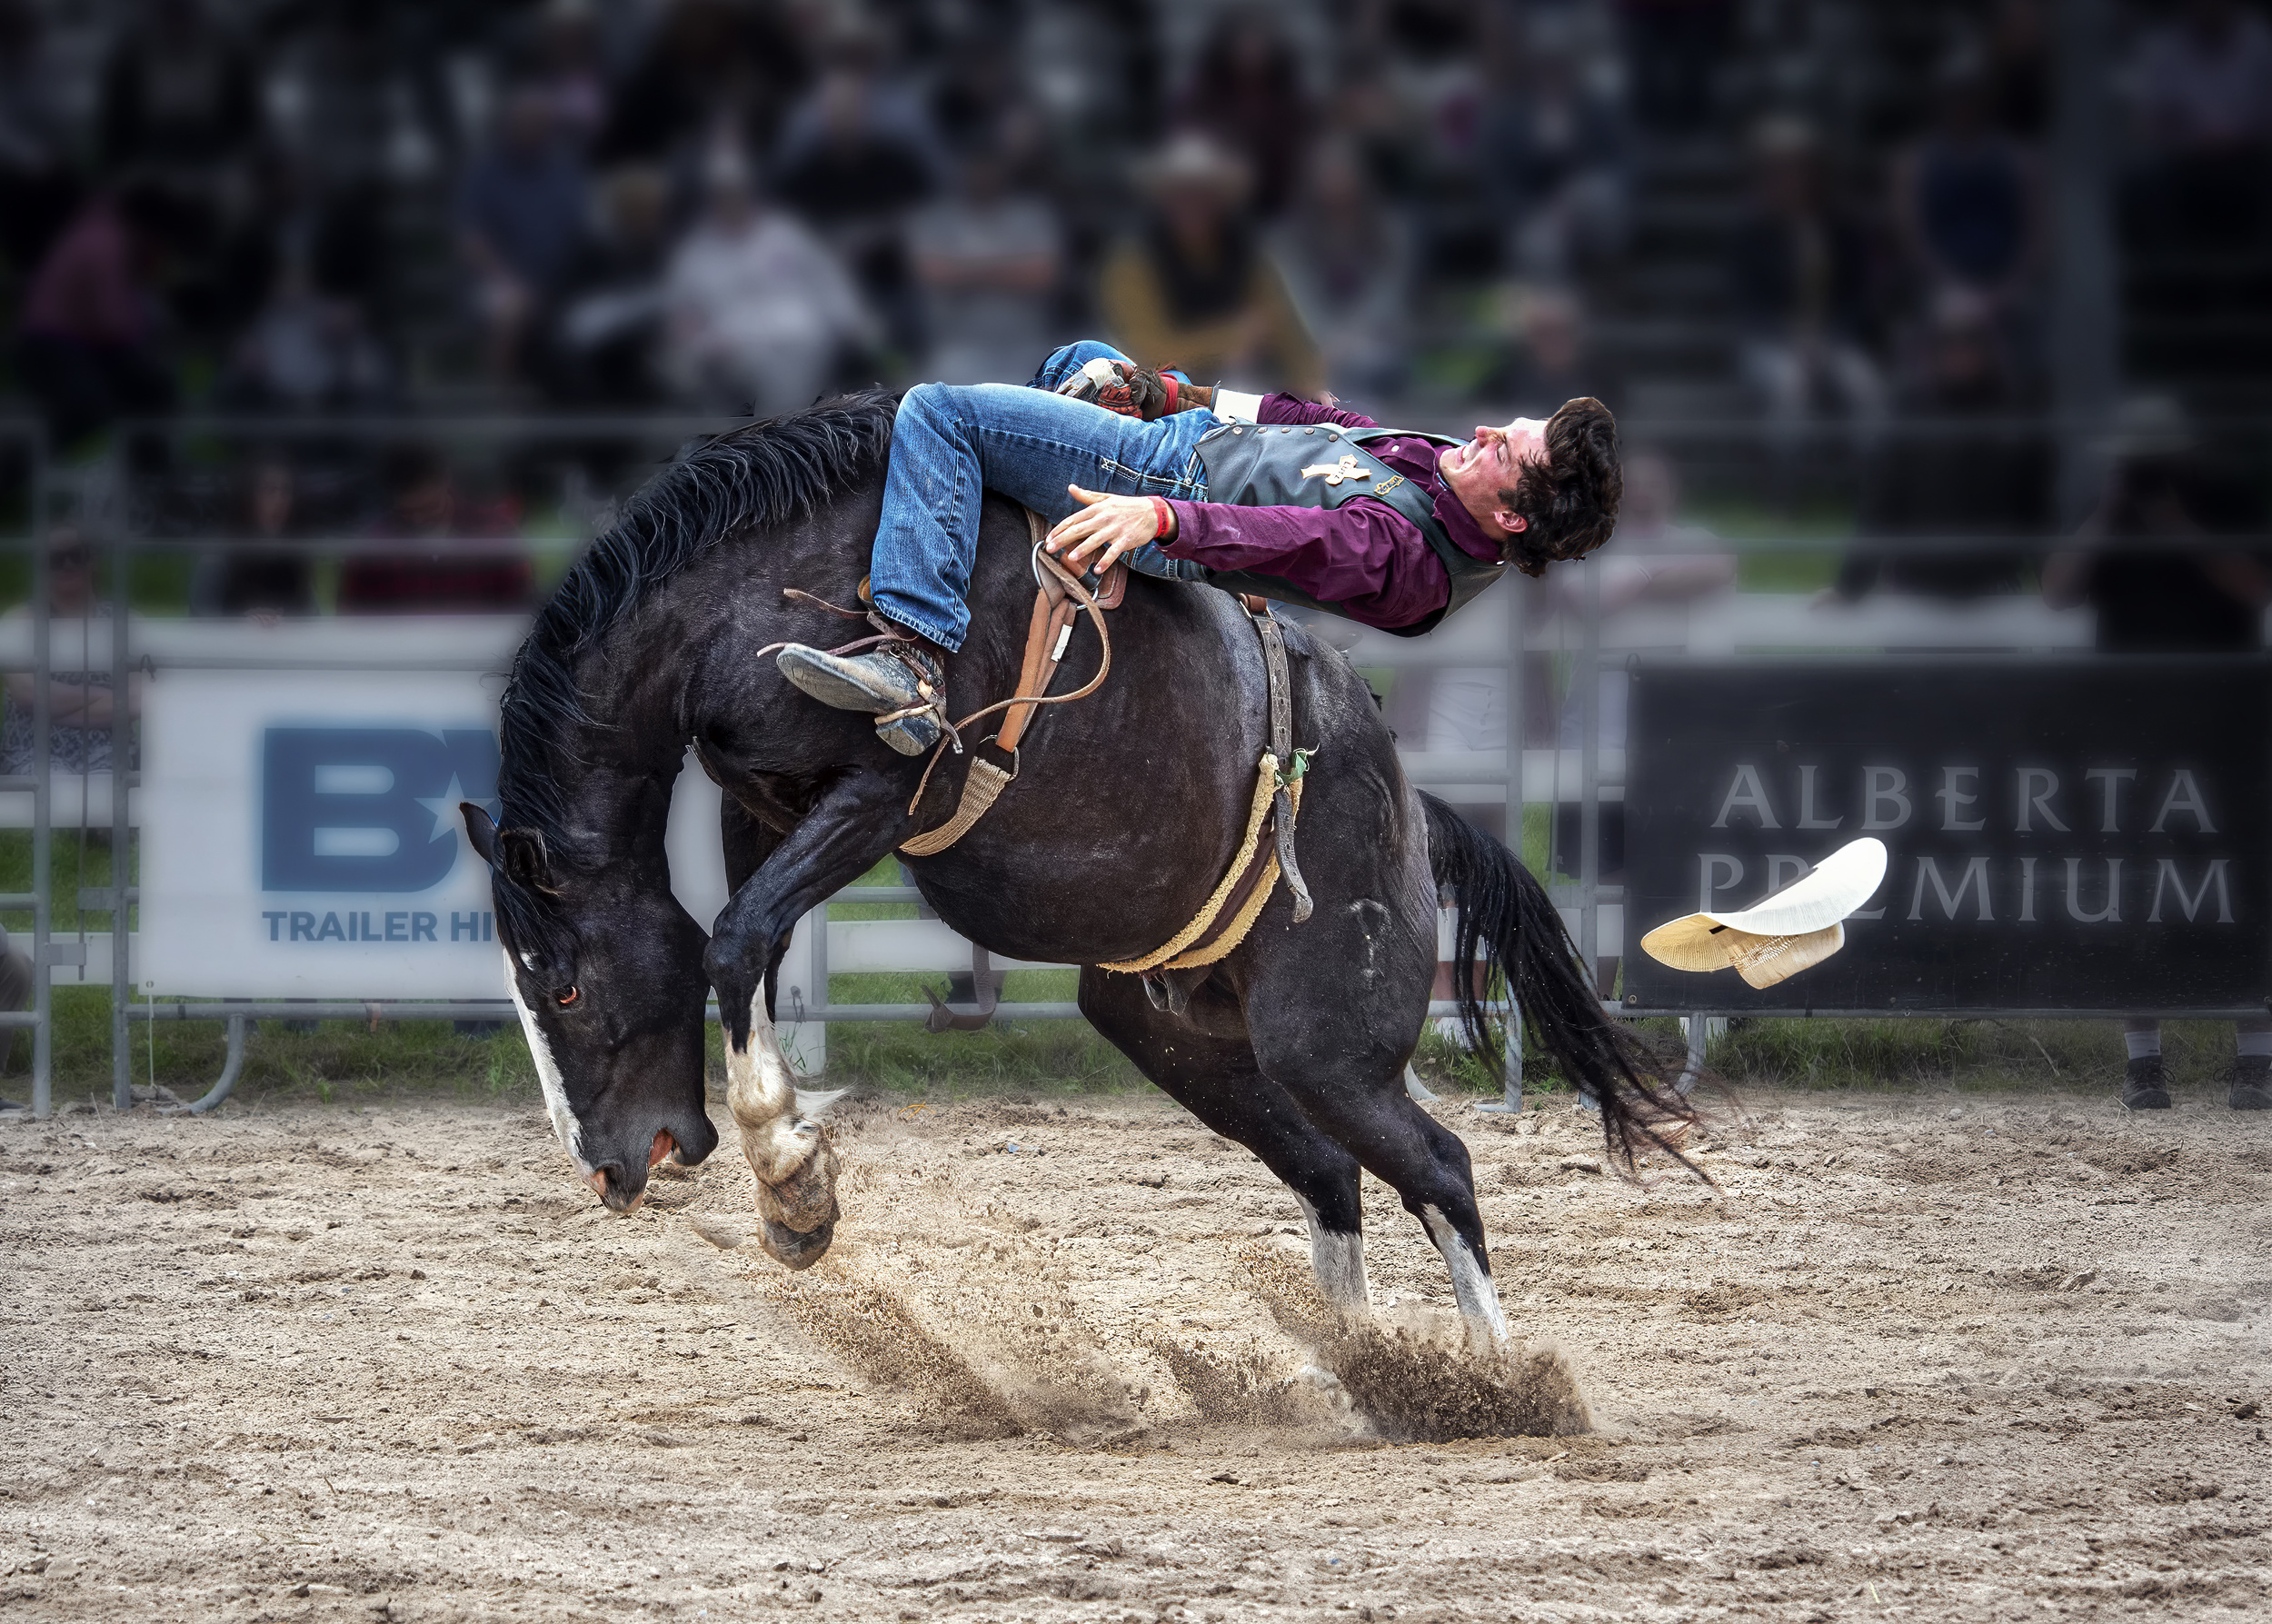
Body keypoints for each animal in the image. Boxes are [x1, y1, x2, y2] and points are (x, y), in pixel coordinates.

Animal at [463, 392, 1695, 1347]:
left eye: (561, 984)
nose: (607, 1168)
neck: (764, 585)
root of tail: (1409, 810)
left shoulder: (888, 793)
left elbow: (731, 940)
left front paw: (792, 1179)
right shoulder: (759, 800)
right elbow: (750, 949)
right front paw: (793, 1175)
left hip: (1330, 1042)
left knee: (1438, 1168)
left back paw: (1495, 1379)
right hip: (1173, 1026)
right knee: (1329, 1172)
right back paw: (1369, 1370)